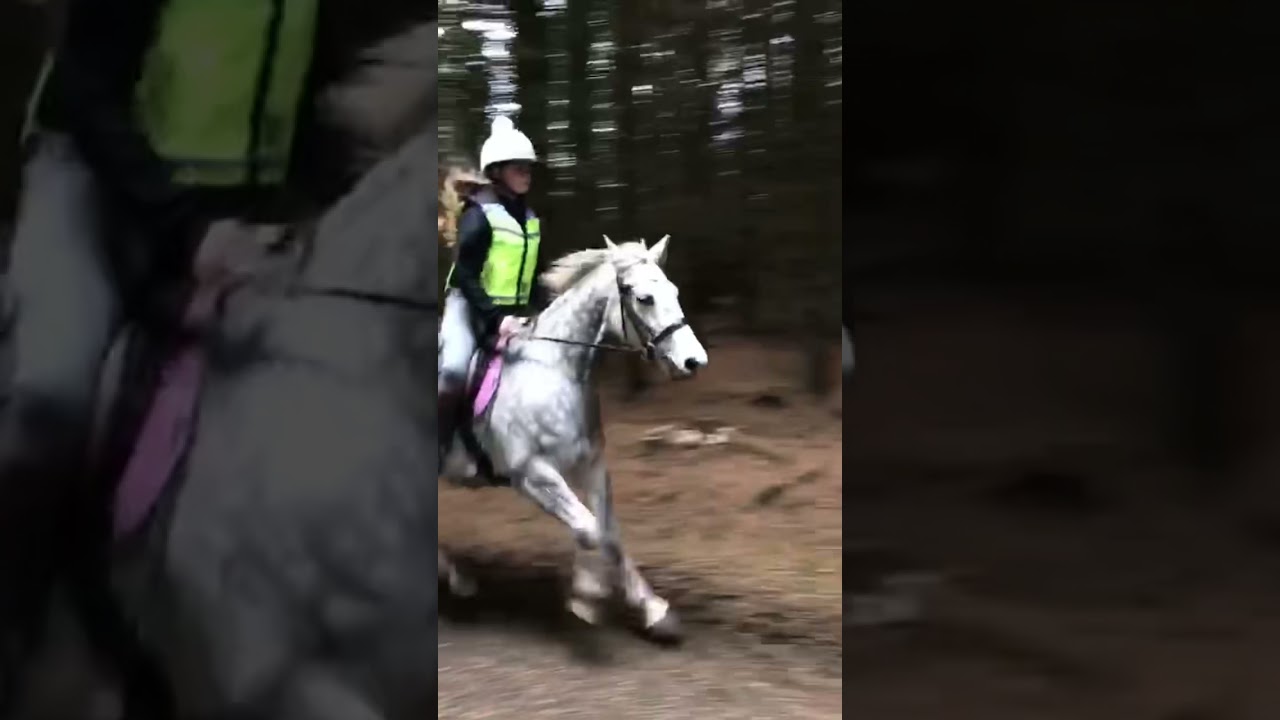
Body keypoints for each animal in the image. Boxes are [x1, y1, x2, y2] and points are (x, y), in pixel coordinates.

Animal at [438, 235, 708, 644]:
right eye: (644, 298)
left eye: (674, 292)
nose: (694, 361)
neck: (555, 369)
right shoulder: (533, 475)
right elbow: (588, 528)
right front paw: (587, 595)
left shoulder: (591, 464)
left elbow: (608, 532)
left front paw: (654, 611)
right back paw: (458, 581)